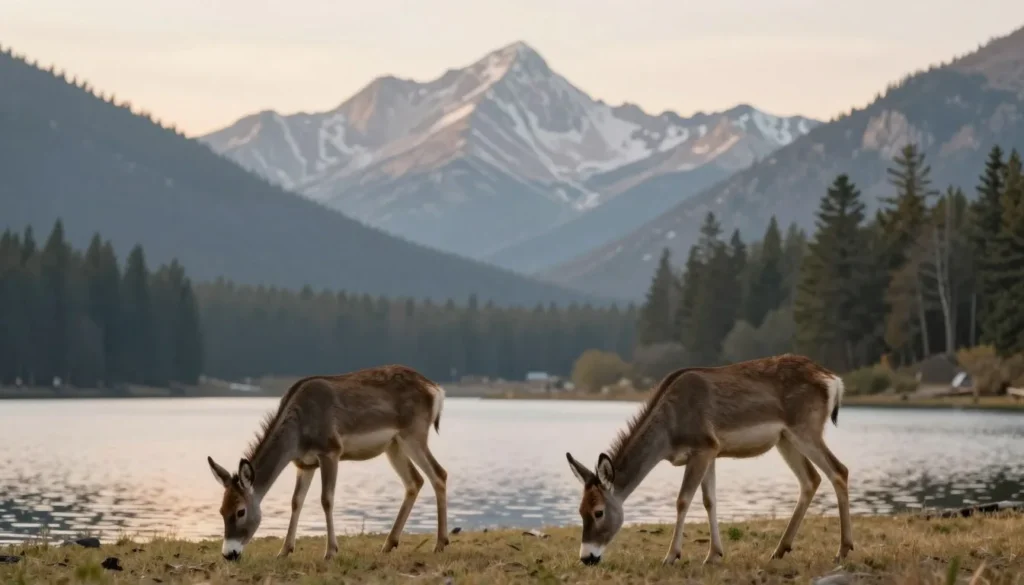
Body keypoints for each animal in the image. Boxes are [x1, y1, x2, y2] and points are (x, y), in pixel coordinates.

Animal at [206, 365, 449, 562]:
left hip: (414, 433)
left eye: (240, 511)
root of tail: (436, 390)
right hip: (394, 445)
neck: (298, 437)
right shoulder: (304, 463)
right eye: (221, 510)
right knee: (415, 481)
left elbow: (327, 499)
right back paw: (389, 544)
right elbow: (296, 501)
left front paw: (331, 551)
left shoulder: (330, 450)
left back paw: (440, 544)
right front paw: (284, 550)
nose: (229, 554)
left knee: (439, 474)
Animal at [565, 354, 853, 567]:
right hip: (785, 439)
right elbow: (709, 500)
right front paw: (714, 554)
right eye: (579, 510)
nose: (587, 557)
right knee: (811, 479)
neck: (669, 435)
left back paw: (843, 550)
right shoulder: (712, 450)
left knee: (839, 470)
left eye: (598, 511)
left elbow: (683, 500)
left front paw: (671, 556)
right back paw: (780, 549)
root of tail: (835, 381)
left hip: (805, 428)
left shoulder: (703, 446)